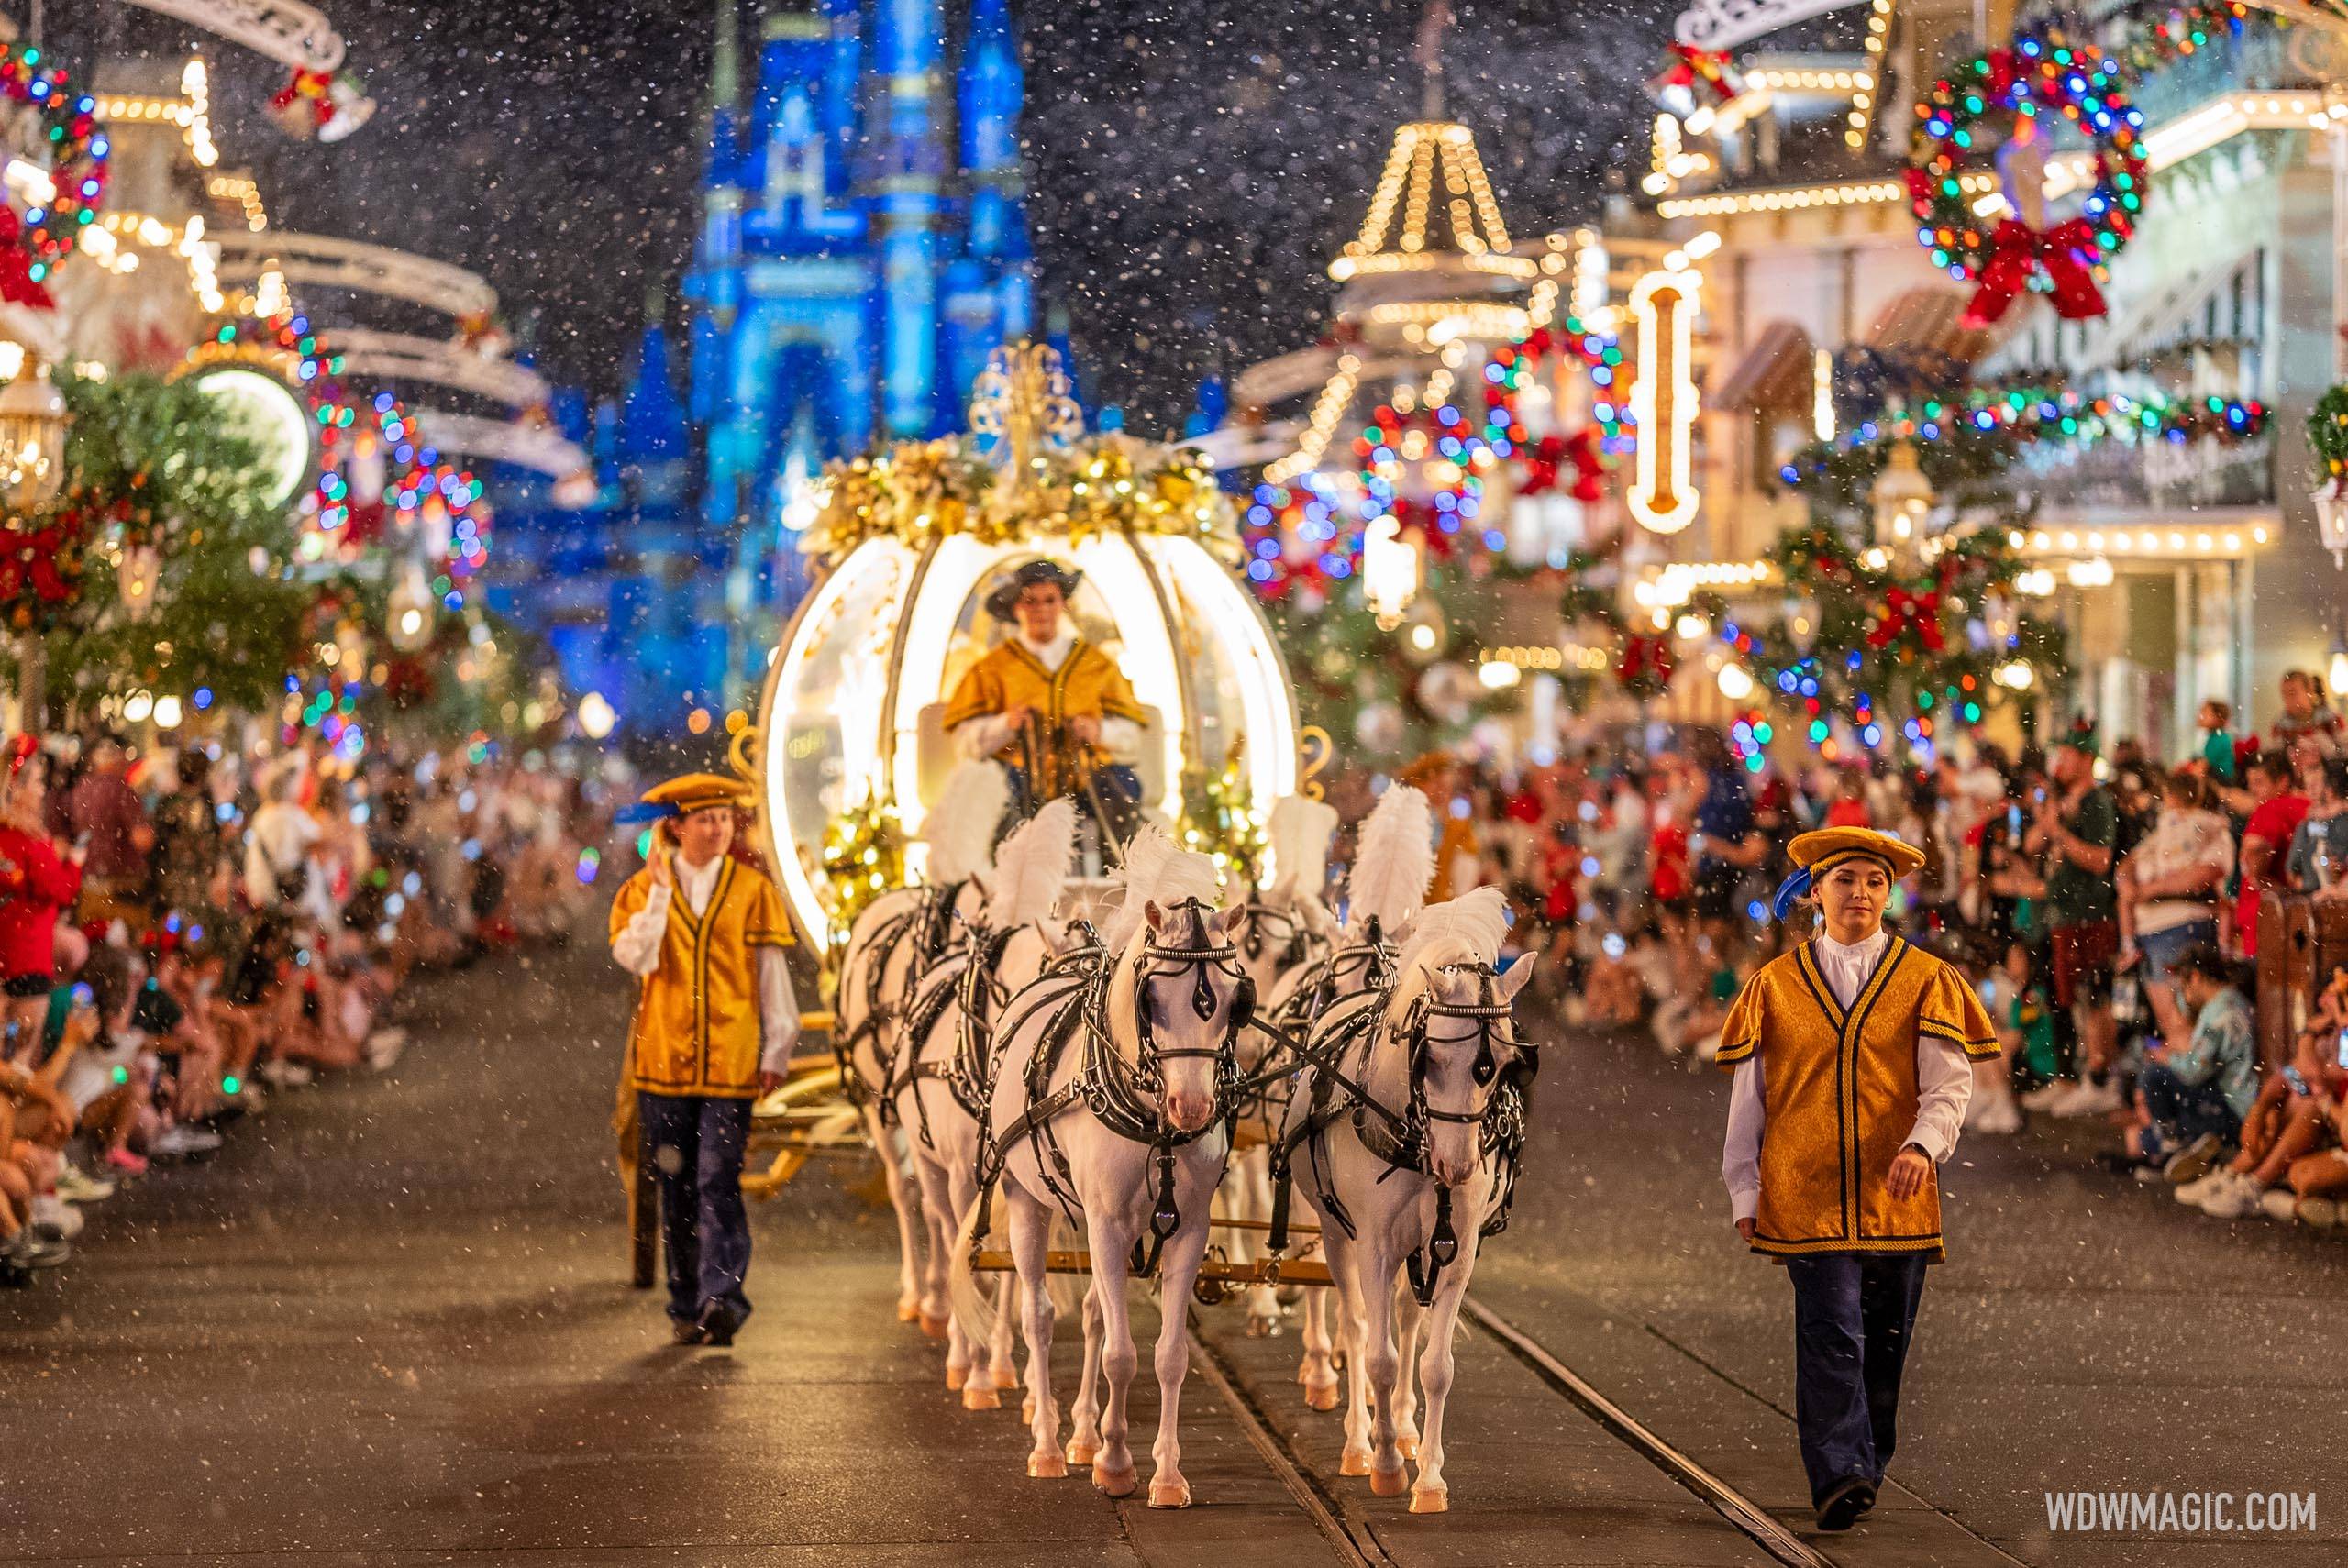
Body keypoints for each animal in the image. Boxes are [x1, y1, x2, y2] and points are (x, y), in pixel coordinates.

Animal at [948, 831, 1258, 1502]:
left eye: (1233, 1001)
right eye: (1153, 999)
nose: (1192, 1106)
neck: (1153, 1121)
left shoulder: (1188, 1228)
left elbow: (1168, 1354)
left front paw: (1162, 1474)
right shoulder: (1108, 1223)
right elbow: (1121, 1354)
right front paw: (1116, 1466)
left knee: (1092, 1314)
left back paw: (1085, 1434)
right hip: (1027, 1202)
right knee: (1038, 1317)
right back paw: (1047, 1443)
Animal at [1277, 891, 1531, 1520]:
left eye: (1502, 1065)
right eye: (1429, 1058)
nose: (1457, 1166)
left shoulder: (1457, 1250)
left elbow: (1435, 1366)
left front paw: (1430, 1478)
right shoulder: (1372, 1246)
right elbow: (1379, 1357)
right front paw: (1386, 1465)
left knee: (1408, 1321)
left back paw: (1405, 1427)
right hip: (1337, 1235)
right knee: (1354, 1322)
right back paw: (1358, 1436)